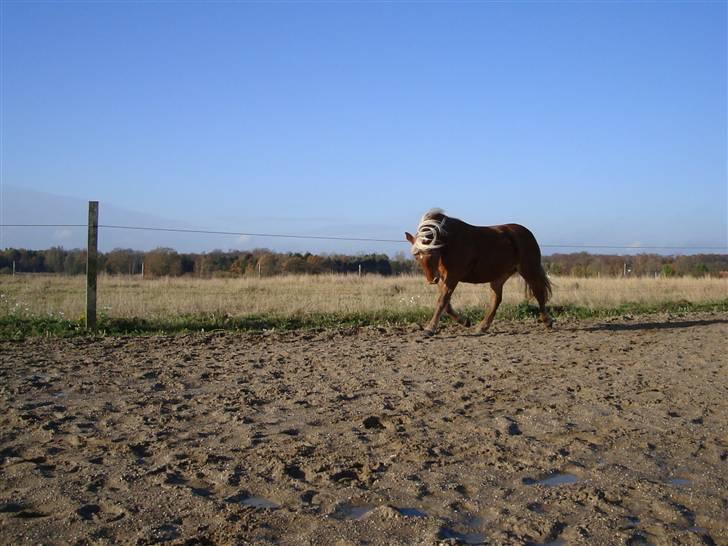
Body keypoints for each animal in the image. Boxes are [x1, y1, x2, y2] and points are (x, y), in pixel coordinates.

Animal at [404, 208, 552, 336]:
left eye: (432, 252)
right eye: (416, 256)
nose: (431, 280)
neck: (451, 241)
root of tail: (527, 233)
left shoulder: (452, 276)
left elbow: (442, 301)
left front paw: (430, 329)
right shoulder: (442, 278)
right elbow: (446, 304)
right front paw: (465, 321)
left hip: (529, 270)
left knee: (539, 293)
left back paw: (547, 321)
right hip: (499, 276)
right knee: (496, 299)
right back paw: (482, 327)